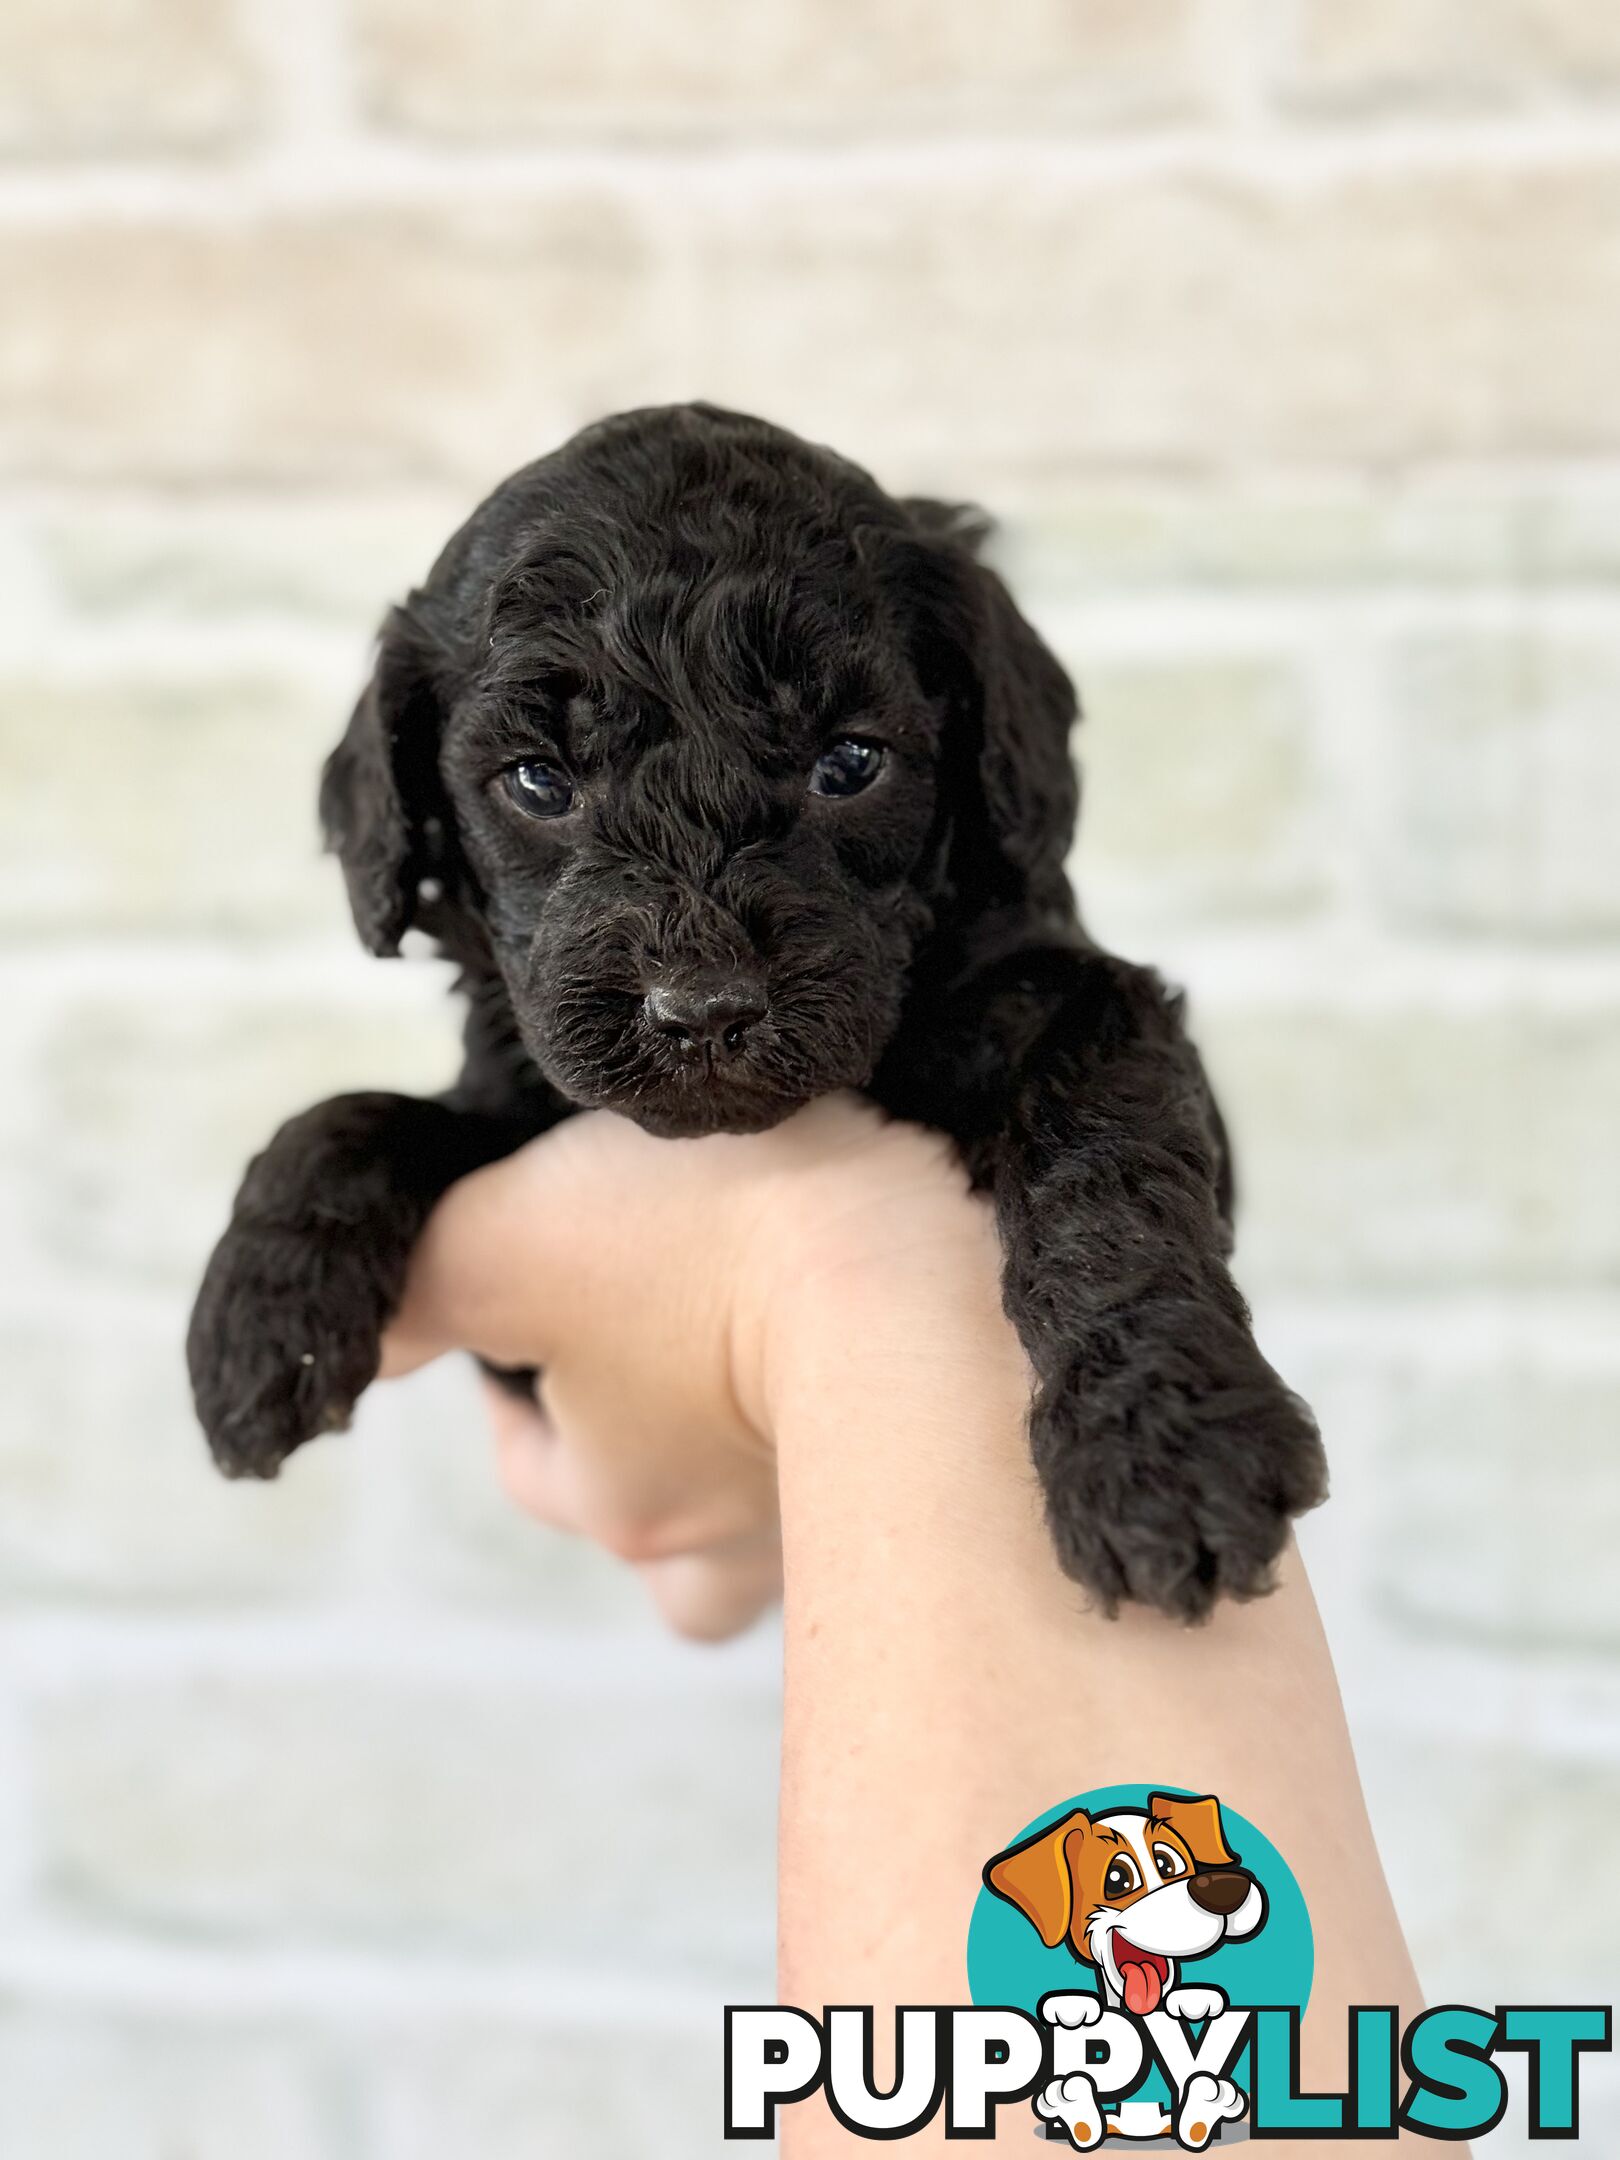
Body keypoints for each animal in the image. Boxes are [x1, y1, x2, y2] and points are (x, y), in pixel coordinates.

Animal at [193, 406, 1330, 1624]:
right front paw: (257, 1330)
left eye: (851, 762)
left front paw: (1164, 1453)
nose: (704, 1010)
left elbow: (1106, 1153)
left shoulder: (1072, 998)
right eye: (538, 782)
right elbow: (355, 1112)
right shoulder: (510, 1101)